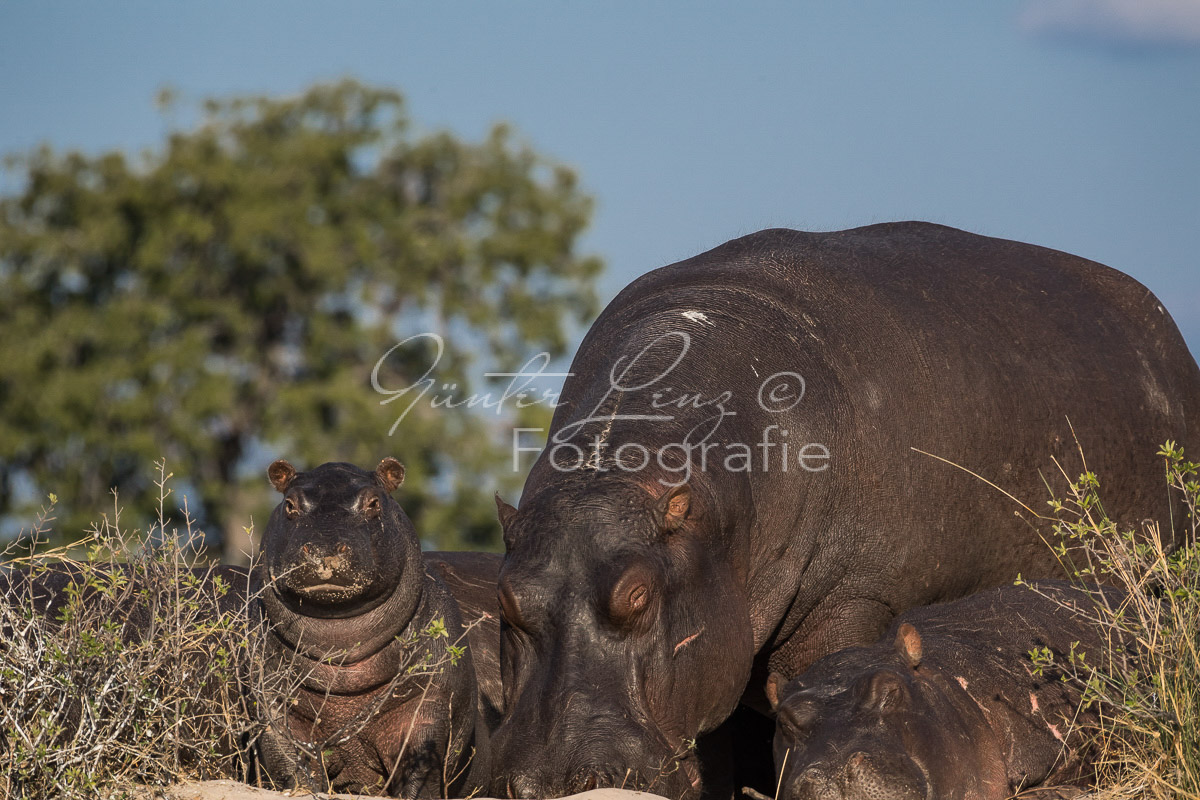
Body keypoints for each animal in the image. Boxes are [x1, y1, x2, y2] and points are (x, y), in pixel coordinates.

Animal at [256, 460, 487, 796]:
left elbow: (422, 764)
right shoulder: (276, 704)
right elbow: (290, 762)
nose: (324, 548)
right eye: (289, 504)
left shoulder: (428, 703)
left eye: (374, 502)